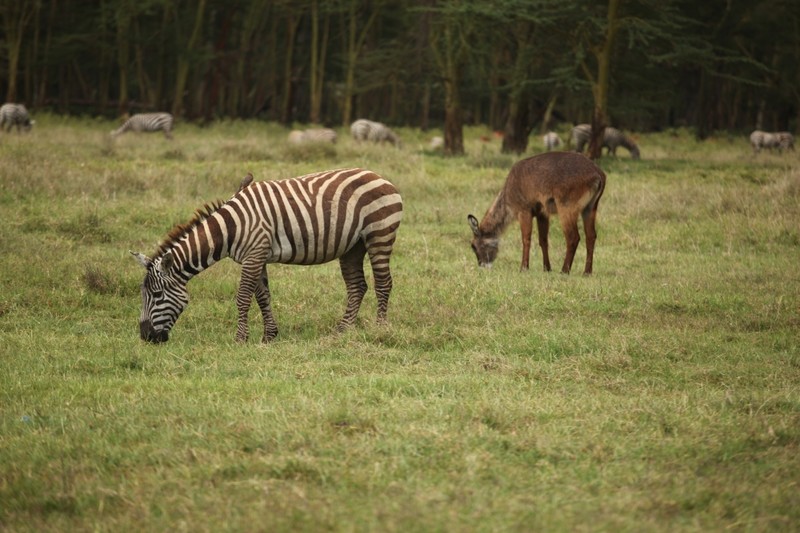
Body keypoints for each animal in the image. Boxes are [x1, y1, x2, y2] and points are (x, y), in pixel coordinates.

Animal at [134, 167, 406, 344]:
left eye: (156, 295)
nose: (146, 337)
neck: (230, 228)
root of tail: (379, 176)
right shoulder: (257, 256)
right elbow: (262, 296)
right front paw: (269, 336)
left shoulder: (254, 255)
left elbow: (243, 298)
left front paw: (240, 339)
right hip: (353, 246)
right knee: (357, 286)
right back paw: (343, 330)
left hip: (379, 234)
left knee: (383, 283)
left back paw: (380, 330)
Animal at [468, 151, 608, 272]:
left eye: (473, 245)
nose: (482, 265)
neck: (508, 195)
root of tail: (598, 174)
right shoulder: (542, 214)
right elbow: (543, 240)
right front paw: (547, 268)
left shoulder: (524, 210)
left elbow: (526, 239)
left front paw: (524, 268)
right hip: (590, 208)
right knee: (591, 236)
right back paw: (587, 272)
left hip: (566, 208)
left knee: (573, 237)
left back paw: (564, 270)